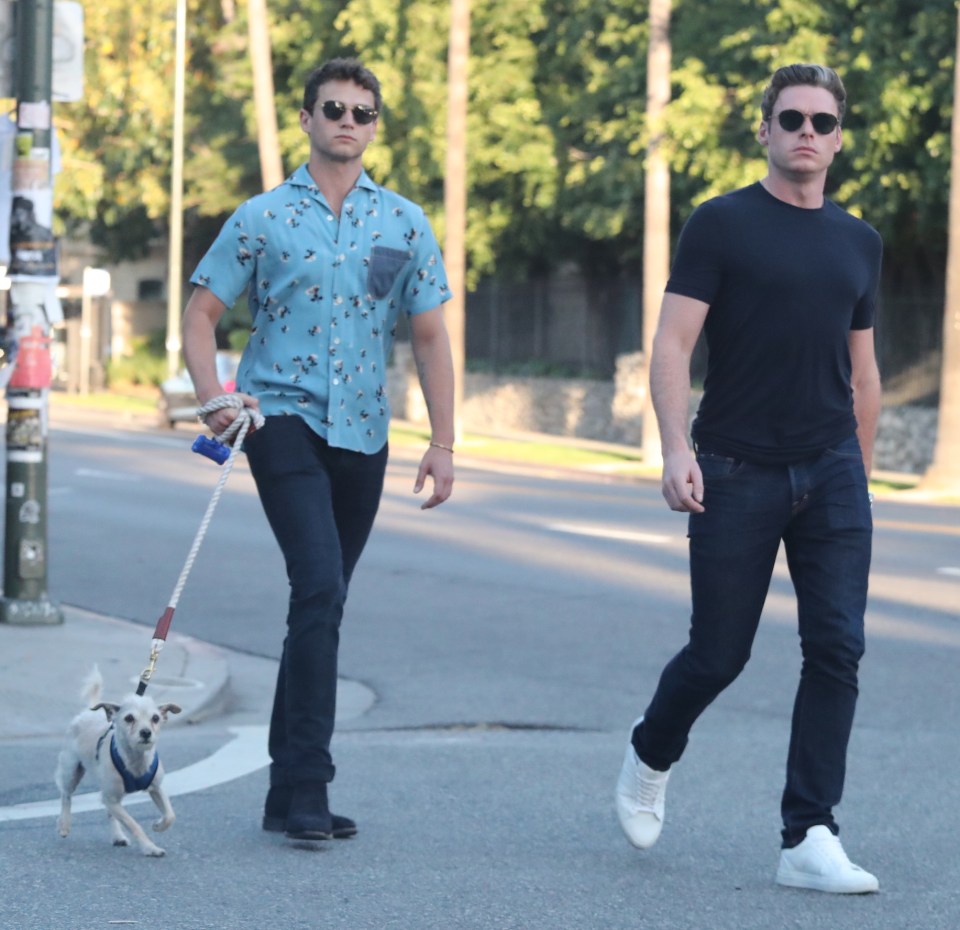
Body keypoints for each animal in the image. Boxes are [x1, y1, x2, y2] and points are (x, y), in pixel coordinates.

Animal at [55, 668, 182, 856]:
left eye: (155, 718)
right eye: (129, 718)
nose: (146, 732)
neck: (136, 759)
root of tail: (86, 712)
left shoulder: (156, 788)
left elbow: (170, 815)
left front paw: (158, 825)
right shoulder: (112, 799)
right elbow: (133, 824)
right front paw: (150, 848)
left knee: (110, 813)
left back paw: (118, 837)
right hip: (72, 771)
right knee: (66, 795)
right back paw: (64, 824)